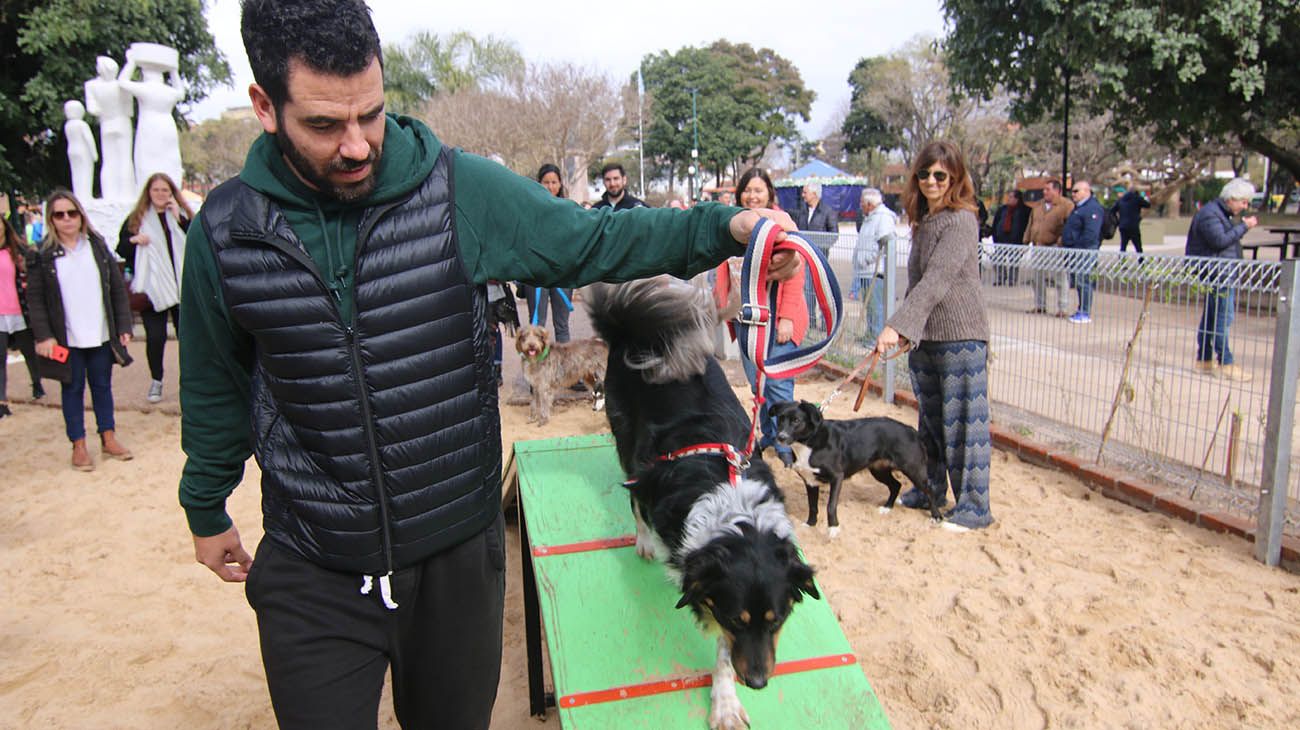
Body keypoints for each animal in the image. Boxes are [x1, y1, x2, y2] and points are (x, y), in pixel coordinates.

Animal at [764, 397, 941, 535]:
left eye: (796, 420)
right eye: (780, 418)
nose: (780, 437)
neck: (809, 443)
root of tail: (911, 430)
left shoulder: (837, 477)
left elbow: (830, 506)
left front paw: (833, 528)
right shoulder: (810, 481)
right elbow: (812, 506)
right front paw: (810, 524)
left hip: (913, 470)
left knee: (930, 490)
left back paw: (936, 516)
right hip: (878, 470)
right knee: (896, 485)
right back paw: (887, 507)